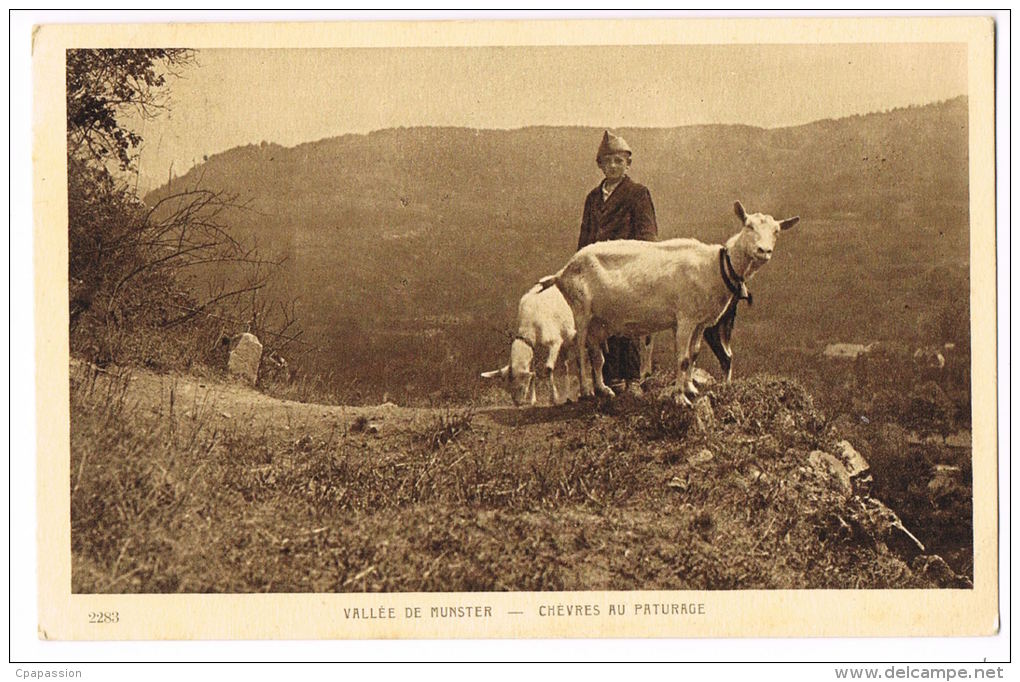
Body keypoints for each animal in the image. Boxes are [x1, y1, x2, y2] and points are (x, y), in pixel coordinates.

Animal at [538, 201, 799, 403]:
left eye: (777, 231)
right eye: (748, 225)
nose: (764, 251)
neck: (713, 266)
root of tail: (563, 271)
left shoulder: (701, 323)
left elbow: (693, 354)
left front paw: (690, 389)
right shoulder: (684, 319)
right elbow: (682, 359)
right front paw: (680, 398)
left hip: (599, 321)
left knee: (595, 353)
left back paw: (604, 389)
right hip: (580, 310)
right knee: (578, 351)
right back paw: (586, 391)